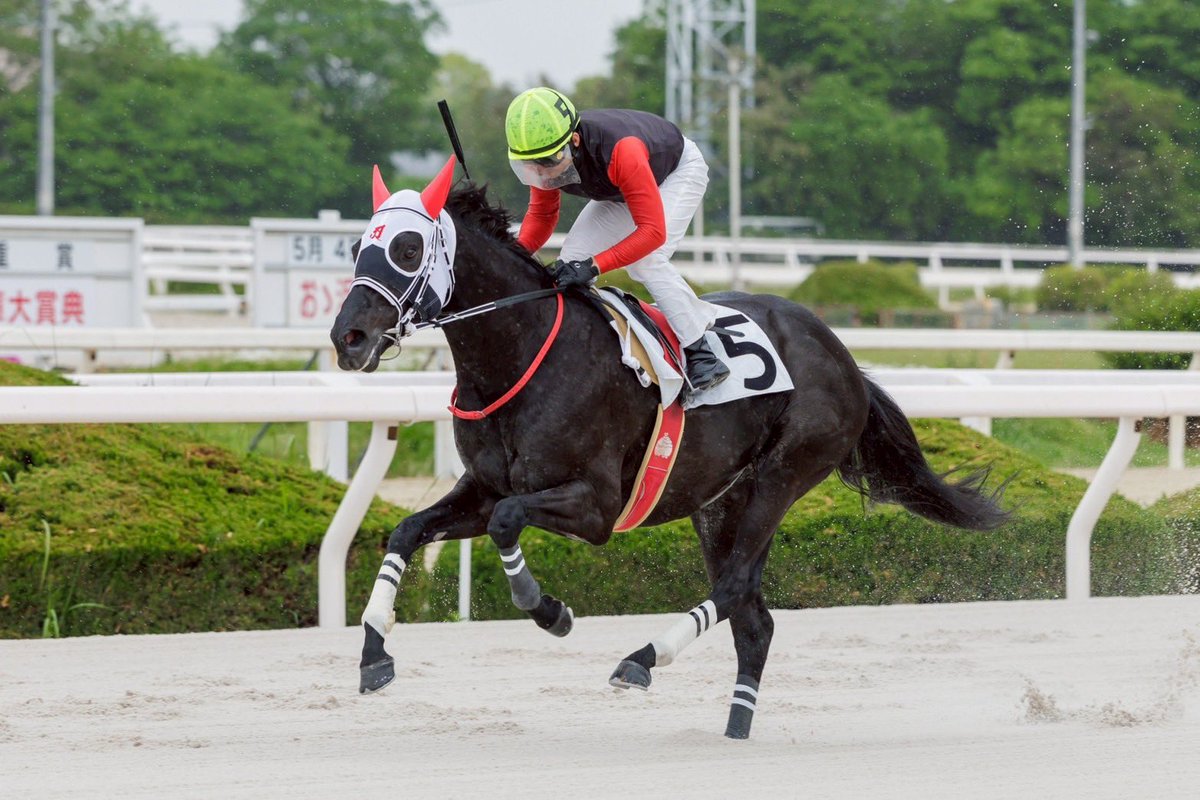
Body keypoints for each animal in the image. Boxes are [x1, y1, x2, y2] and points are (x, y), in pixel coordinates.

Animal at [330, 159, 1009, 739]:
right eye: (360, 246)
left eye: (407, 249)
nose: (348, 338)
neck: (521, 354)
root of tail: (844, 357)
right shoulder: (482, 485)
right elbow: (408, 530)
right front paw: (373, 653)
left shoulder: (596, 505)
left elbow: (506, 521)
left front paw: (548, 609)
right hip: (719, 501)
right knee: (754, 620)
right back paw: (735, 726)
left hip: (785, 471)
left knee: (736, 587)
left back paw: (641, 660)